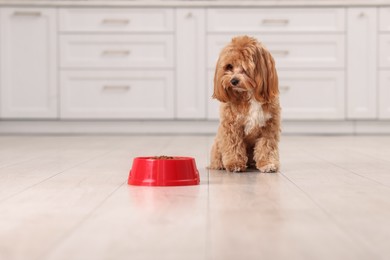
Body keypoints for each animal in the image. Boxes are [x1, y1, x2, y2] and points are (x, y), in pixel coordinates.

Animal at [210, 35, 280, 173]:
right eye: (229, 66)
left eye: (245, 68)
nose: (233, 81)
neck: (249, 94)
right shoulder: (232, 126)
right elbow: (233, 145)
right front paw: (235, 164)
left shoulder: (269, 126)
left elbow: (266, 146)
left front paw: (267, 164)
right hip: (218, 143)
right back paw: (219, 165)